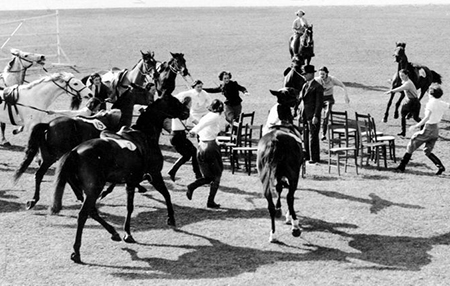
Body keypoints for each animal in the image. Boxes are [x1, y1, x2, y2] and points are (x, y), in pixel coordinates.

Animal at [50, 90, 189, 264]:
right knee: (83, 214)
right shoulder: (153, 175)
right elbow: (165, 195)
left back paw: (113, 233)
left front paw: (126, 232)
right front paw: (170, 219)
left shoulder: (130, 181)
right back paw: (77, 251)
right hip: (94, 189)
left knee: (92, 211)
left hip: (85, 189)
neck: (145, 136)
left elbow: (129, 204)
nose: (187, 111)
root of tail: (75, 151)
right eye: (175, 102)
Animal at [255, 87, 304, 244]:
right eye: (292, 92)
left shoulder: (276, 174)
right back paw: (295, 226)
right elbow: (286, 193)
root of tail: (274, 140)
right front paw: (288, 216)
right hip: (293, 174)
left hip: (264, 176)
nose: (300, 98)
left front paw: (279, 209)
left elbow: (278, 188)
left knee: (270, 203)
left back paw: (273, 234)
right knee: (290, 196)